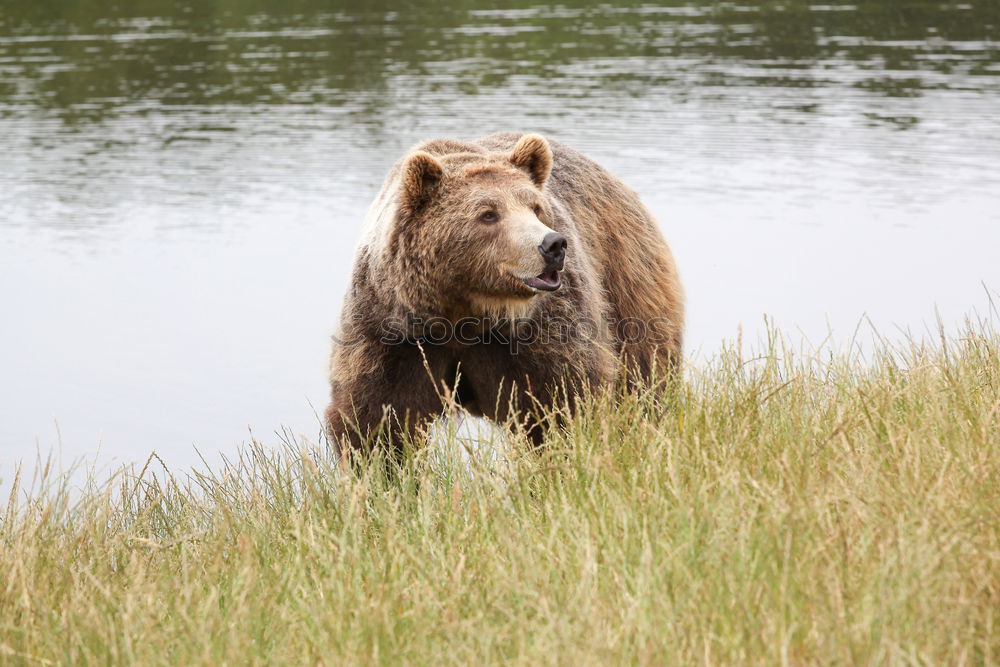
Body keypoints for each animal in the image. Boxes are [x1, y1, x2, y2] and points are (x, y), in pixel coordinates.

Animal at [324, 134, 684, 462]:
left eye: (536, 208)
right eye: (488, 214)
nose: (553, 245)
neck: (465, 311)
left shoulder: (540, 331)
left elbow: (561, 401)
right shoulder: (393, 331)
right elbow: (378, 417)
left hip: (628, 282)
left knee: (643, 378)